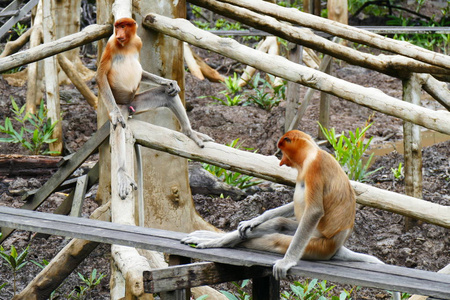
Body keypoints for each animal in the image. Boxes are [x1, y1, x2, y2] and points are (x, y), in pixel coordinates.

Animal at [97, 17, 213, 198]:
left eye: (123, 26)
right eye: (116, 27)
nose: (119, 33)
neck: (126, 44)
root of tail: (128, 104)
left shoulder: (138, 42)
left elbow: (143, 72)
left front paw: (169, 82)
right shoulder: (111, 44)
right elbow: (101, 74)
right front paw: (115, 115)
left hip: (136, 102)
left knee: (167, 95)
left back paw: (189, 132)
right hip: (119, 104)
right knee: (119, 126)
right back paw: (122, 173)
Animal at [183, 129, 400, 298]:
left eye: (282, 151)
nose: (281, 162)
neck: (312, 153)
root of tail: (337, 245)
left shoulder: (314, 169)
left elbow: (314, 211)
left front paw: (286, 262)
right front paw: (254, 220)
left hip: (316, 245)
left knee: (276, 240)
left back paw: (215, 242)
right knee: (278, 223)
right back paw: (213, 236)